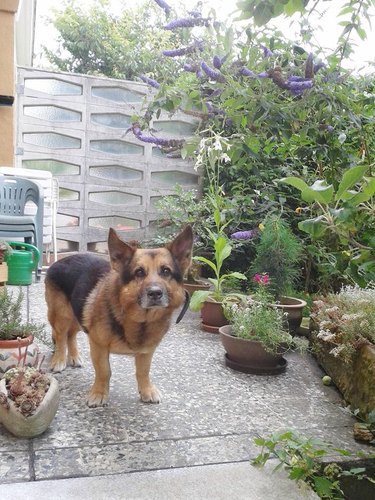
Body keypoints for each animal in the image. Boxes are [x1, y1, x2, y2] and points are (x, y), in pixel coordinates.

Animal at [44, 226, 194, 406]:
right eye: (139, 272)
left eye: (166, 271)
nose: (155, 293)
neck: (140, 320)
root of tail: (58, 261)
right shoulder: (98, 346)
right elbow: (104, 371)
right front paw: (99, 393)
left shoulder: (146, 352)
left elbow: (143, 372)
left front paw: (146, 390)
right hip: (62, 316)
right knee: (61, 337)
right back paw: (59, 360)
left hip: (78, 317)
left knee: (71, 335)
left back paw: (73, 357)